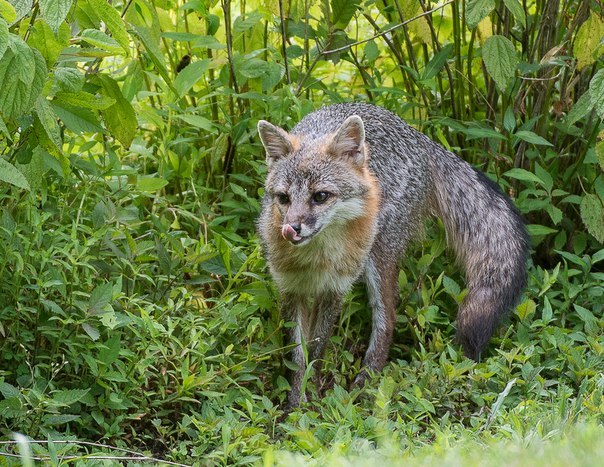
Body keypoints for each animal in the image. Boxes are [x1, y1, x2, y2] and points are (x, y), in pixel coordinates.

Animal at [256, 103, 528, 410]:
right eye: (284, 198)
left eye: (320, 196)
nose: (291, 229)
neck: (316, 259)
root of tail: (419, 136)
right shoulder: (291, 288)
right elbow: (297, 354)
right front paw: (295, 403)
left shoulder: (335, 288)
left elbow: (317, 348)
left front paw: (311, 396)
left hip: (379, 257)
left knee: (387, 320)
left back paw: (365, 385)